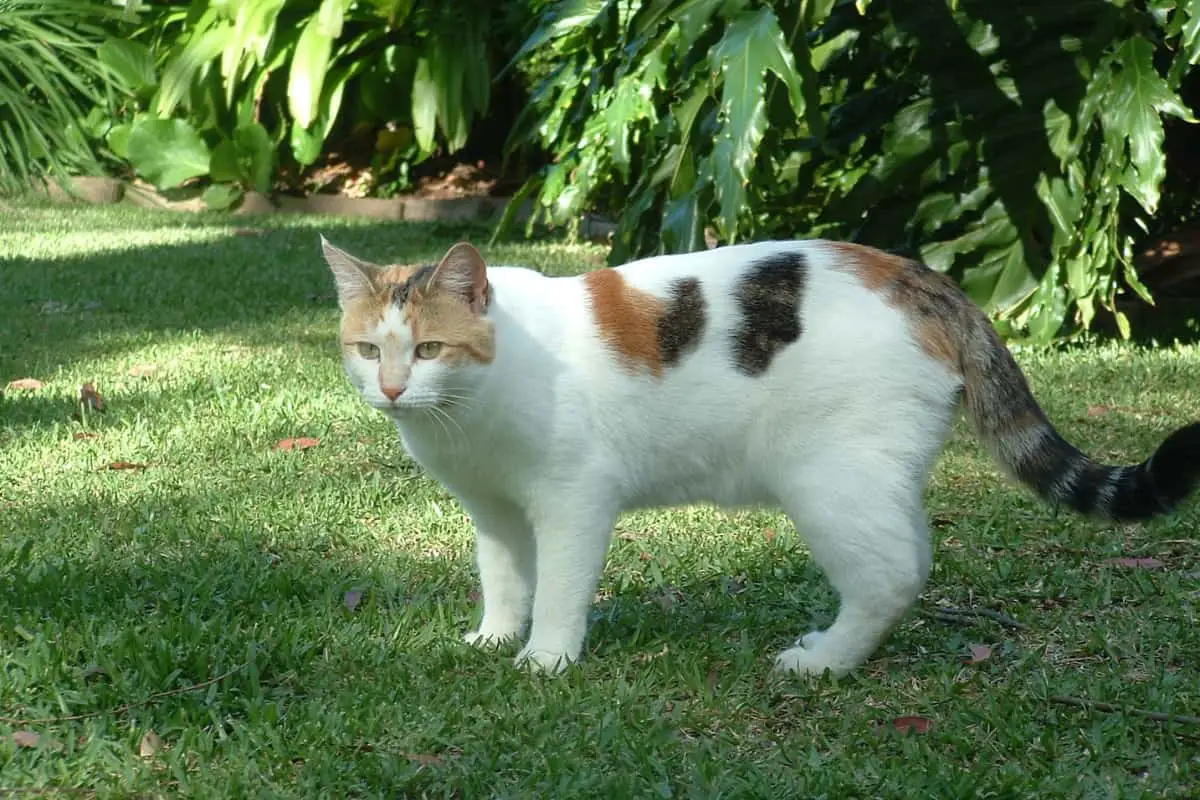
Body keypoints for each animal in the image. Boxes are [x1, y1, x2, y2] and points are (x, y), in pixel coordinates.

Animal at [319, 235, 1200, 681]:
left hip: (829, 484)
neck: (472, 408)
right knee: (914, 556)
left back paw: (823, 665)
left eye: (428, 349)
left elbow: (562, 588)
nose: (393, 391)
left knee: (891, 575)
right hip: (873, 478)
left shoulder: (573, 500)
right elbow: (505, 579)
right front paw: (497, 638)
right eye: (367, 350)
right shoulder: (495, 511)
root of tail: (921, 276)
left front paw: (546, 658)